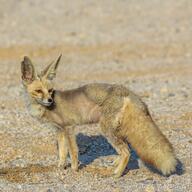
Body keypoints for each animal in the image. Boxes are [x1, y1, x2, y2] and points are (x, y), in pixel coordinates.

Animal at [20, 54, 177, 178]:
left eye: (50, 90)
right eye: (39, 91)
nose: (50, 100)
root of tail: (126, 90)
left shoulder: (69, 127)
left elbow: (73, 151)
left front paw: (74, 169)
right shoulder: (60, 130)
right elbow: (62, 153)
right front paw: (60, 167)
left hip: (106, 129)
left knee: (126, 151)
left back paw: (117, 174)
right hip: (115, 129)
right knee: (126, 148)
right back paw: (116, 164)